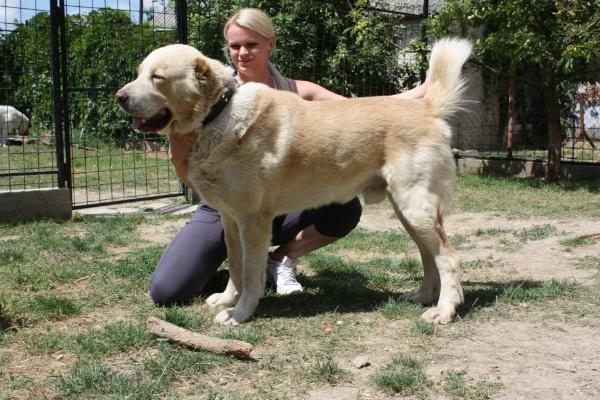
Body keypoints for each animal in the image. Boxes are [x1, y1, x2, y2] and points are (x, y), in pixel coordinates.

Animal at [117, 37, 474, 324]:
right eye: (138, 72)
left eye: (157, 77)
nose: (119, 96)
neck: (217, 114)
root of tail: (426, 107)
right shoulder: (230, 221)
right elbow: (234, 266)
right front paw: (228, 299)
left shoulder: (253, 223)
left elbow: (250, 274)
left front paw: (240, 313)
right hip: (407, 212)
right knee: (429, 256)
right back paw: (423, 298)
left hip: (414, 207)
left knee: (449, 258)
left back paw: (444, 311)